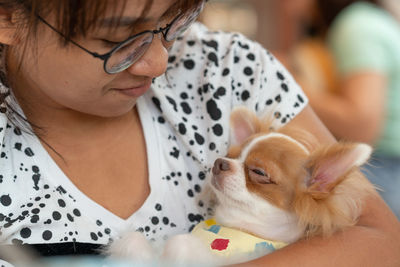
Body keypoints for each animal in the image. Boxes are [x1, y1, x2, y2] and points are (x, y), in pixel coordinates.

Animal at [105, 107, 376, 266]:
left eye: (258, 172)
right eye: (230, 155)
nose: (219, 163)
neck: (231, 228)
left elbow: (179, 244)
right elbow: (135, 242)